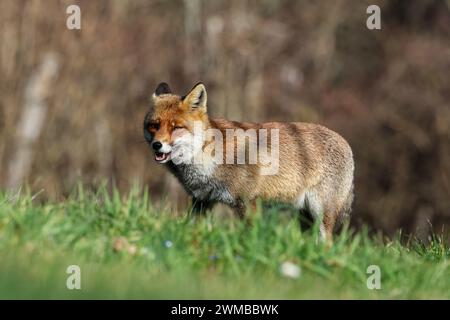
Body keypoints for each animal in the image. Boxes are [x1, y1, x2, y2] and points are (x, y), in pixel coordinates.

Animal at [144, 82, 356, 240]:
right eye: (154, 125)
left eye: (176, 127)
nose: (157, 145)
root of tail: (346, 143)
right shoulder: (202, 200)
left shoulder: (247, 202)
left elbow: (249, 236)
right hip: (304, 218)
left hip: (320, 214)